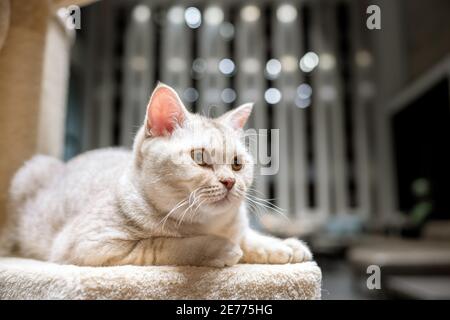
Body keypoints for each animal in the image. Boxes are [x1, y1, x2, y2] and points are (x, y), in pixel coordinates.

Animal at [1, 83, 312, 268]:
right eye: (200, 158)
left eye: (237, 164)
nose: (229, 181)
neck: (209, 224)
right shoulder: (92, 245)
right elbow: (165, 244)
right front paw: (221, 249)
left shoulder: (237, 227)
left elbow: (249, 237)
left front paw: (282, 246)